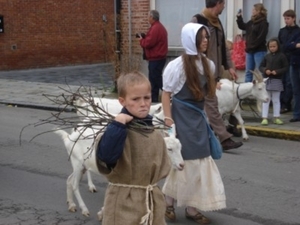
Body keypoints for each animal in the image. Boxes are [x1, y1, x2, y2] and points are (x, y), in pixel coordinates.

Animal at [55, 122, 184, 219]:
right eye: (169, 149)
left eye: (180, 147)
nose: (181, 165)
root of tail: (68, 138)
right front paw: (102, 213)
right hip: (77, 162)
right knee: (75, 184)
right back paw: (84, 210)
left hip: (81, 166)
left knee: (69, 179)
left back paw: (71, 205)